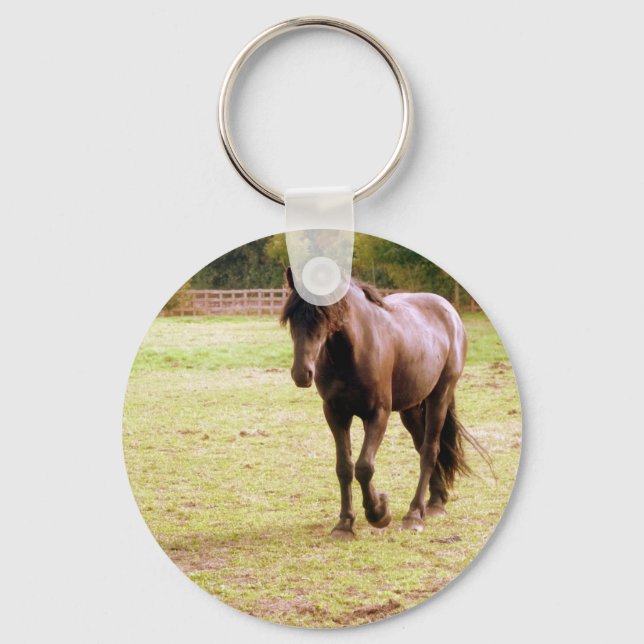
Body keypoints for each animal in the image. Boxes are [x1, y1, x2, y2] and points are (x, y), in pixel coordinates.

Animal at [281, 267, 485, 538]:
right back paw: (435, 501)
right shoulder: (336, 413)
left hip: (439, 396)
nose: (302, 373)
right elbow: (345, 467)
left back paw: (414, 514)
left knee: (430, 450)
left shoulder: (378, 413)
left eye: (323, 316)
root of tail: (448, 310)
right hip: (410, 409)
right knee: (422, 446)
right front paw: (345, 523)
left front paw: (378, 513)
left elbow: (364, 466)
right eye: (291, 317)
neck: (352, 352)